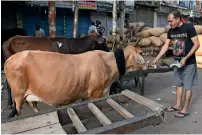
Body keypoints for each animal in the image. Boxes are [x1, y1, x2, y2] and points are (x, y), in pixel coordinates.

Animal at [4, 45, 147, 116]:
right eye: (141, 53)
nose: (148, 64)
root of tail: (10, 59)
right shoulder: (96, 92)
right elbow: (98, 108)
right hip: (18, 95)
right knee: (18, 111)